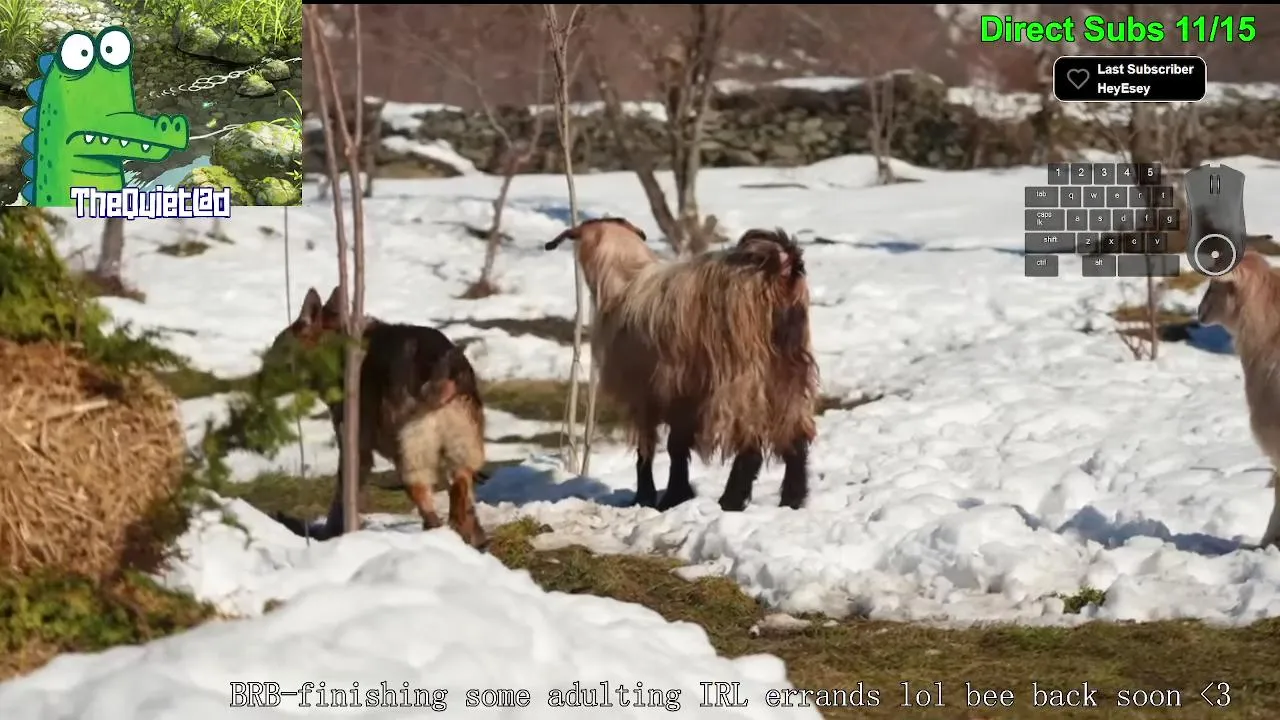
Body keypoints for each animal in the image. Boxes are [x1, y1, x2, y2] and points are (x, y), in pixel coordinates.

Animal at [545, 218, 818, 511]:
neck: (624, 277)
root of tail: (781, 265)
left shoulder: (649, 389)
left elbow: (650, 447)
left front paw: (649, 497)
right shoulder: (683, 390)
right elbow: (677, 444)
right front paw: (676, 495)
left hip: (741, 375)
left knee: (750, 443)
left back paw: (731, 500)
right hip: (787, 371)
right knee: (795, 437)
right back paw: (792, 498)